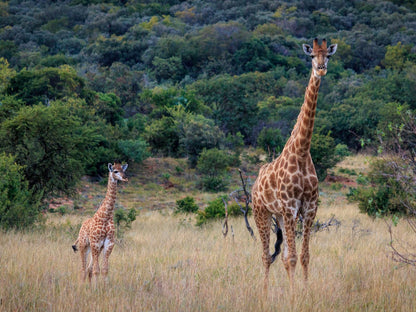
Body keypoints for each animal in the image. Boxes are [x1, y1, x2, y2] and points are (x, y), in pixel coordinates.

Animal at [250, 38, 338, 290]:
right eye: (311, 56)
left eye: (328, 55)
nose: (321, 69)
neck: (301, 151)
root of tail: (254, 184)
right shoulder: (290, 206)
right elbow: (292, 257)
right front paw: (293, 294)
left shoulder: (309, 207)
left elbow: (304, 256)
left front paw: (305, 291)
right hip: (260, 212)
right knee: (266, 256)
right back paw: (265, 292)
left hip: (279, 215)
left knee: (280, 255)